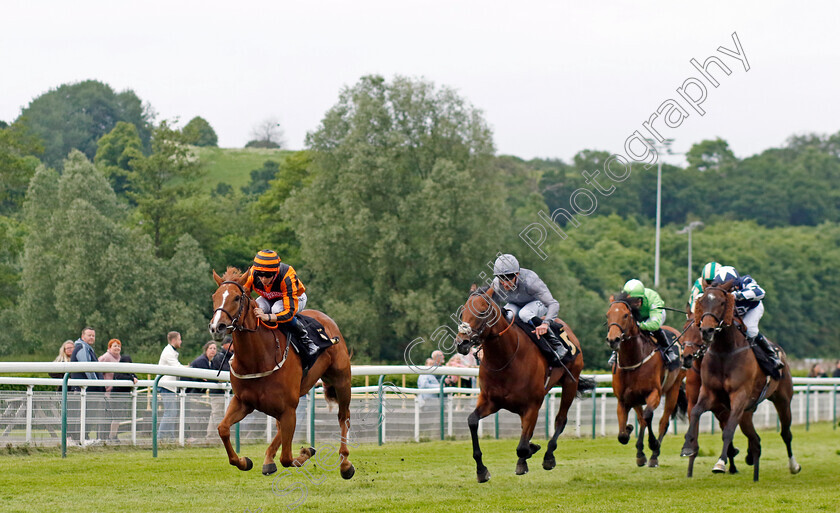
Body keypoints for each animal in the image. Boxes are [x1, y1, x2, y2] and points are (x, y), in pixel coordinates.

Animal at [210, 270, 358, 478]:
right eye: (214, 297)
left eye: (237, 297)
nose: (217, 327)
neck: (258, 358)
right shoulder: (243, 402)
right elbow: (222, 428)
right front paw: (244, 461)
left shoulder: (288, 407)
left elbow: (287, 458)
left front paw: (306, 452)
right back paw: (268, 460)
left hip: (341, 380)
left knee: (343, 416)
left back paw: (345, 464)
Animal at [456, 284, 592, 480]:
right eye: (462, 313)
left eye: (482, 312)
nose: (462, 343)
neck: (506, 359)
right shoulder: (490, 401)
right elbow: (472, 421)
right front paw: (481, 471)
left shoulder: (532, 405)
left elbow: (522, 447)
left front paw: (528, 455)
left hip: (570, 383)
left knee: (560, 420)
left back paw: (548, 456)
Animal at [608, 292, 684, 468]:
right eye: (607, 315)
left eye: (625, 315)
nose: (613, 340)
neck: (633, 360)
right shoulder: (624, 399)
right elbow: (623, 435)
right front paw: (629, 431)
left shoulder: (654, 393)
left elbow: (649, 416)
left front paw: (653, 444)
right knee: (642, 420)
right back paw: (640, 453)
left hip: (673, 389)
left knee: (663, 422)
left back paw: (654, 455)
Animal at [684, 280, 800, 480]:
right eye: (702, 302)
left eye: (722, 302)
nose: (707, 330)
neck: (724, 352)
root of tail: (781, 353)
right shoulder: (709, 394)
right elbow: (696, 413)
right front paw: (688, 447)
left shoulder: (739, 396)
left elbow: (729, 430)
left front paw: (720, 463)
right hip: (748, 412)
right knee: (756, 440)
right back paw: (753, 465)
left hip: (782, 400)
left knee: (786, 433)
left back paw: (793, 466)